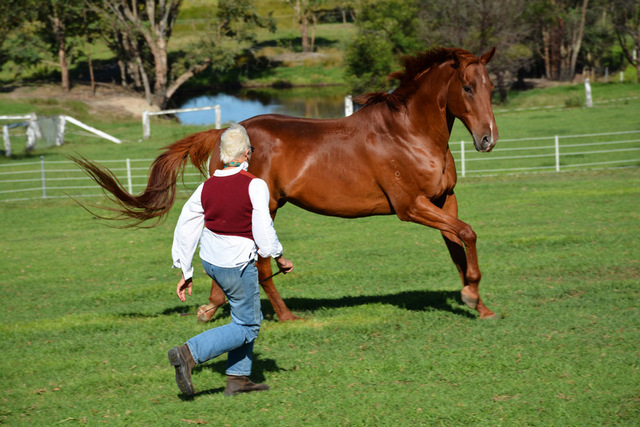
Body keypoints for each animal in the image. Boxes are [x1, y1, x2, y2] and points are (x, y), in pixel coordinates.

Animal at [73, 47, 499, 321]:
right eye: (467, 87)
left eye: (491, 87)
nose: (487, 140)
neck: (409, 134)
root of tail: (223, 133)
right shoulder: (411, 206)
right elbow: (469, 234)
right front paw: (471, 294)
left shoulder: (444, 199)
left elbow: (458, 245)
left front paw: (478, 304)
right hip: (266, 207)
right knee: (260, 263)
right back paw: (285, 316)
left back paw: (210, 308)